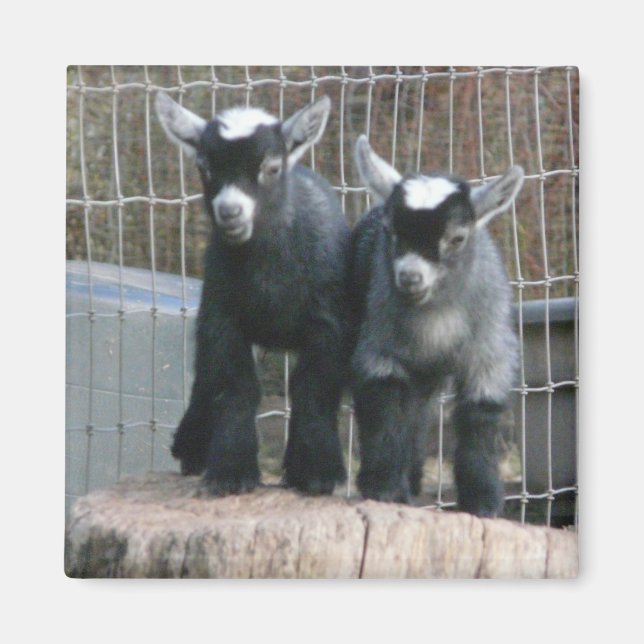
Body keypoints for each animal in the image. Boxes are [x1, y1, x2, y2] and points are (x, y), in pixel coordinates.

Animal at [155, 93, 350, 496]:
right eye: (204, 167)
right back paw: (191, 448)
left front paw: (317, 473)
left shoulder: (329, 325)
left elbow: (312, 389)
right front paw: (231, 471)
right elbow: (235, 388)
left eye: (272, 167)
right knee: (205, 377)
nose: (230, 212)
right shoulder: (222, 319)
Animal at [349, 135, 524, 516]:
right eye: (390, 231)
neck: (435, 321)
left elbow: (479, 416)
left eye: (457, 238)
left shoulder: (489, 354)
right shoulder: (379, 348)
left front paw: (483, 502)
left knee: (419, 416)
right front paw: (384, 487)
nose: (410, 277)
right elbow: (385, 407)